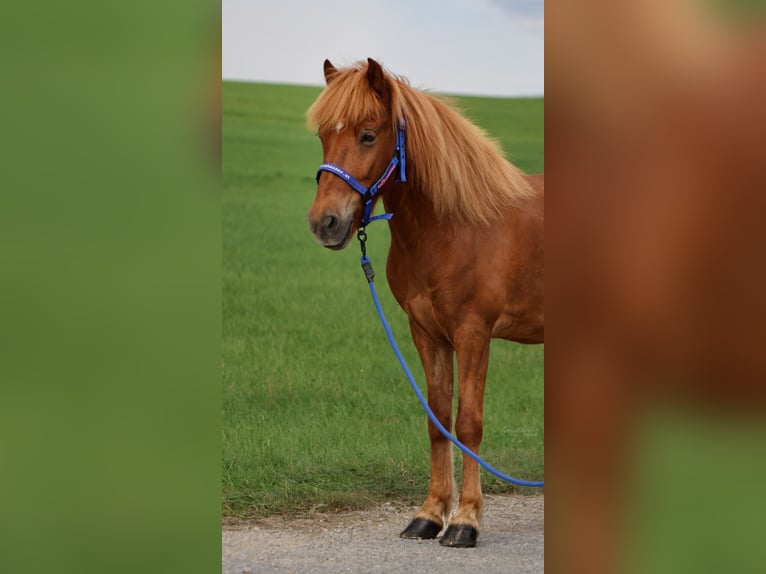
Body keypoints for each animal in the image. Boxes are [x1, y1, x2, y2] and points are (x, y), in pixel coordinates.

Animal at [306, 59, 544, 548]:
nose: (325, 223)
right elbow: (438, 420)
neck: (455, 225)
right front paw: (430, 515)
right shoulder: (427, 333)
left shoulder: (473, 333)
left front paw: (466, 521)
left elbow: (468, 422)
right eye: (322, 134)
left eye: (368, 135)